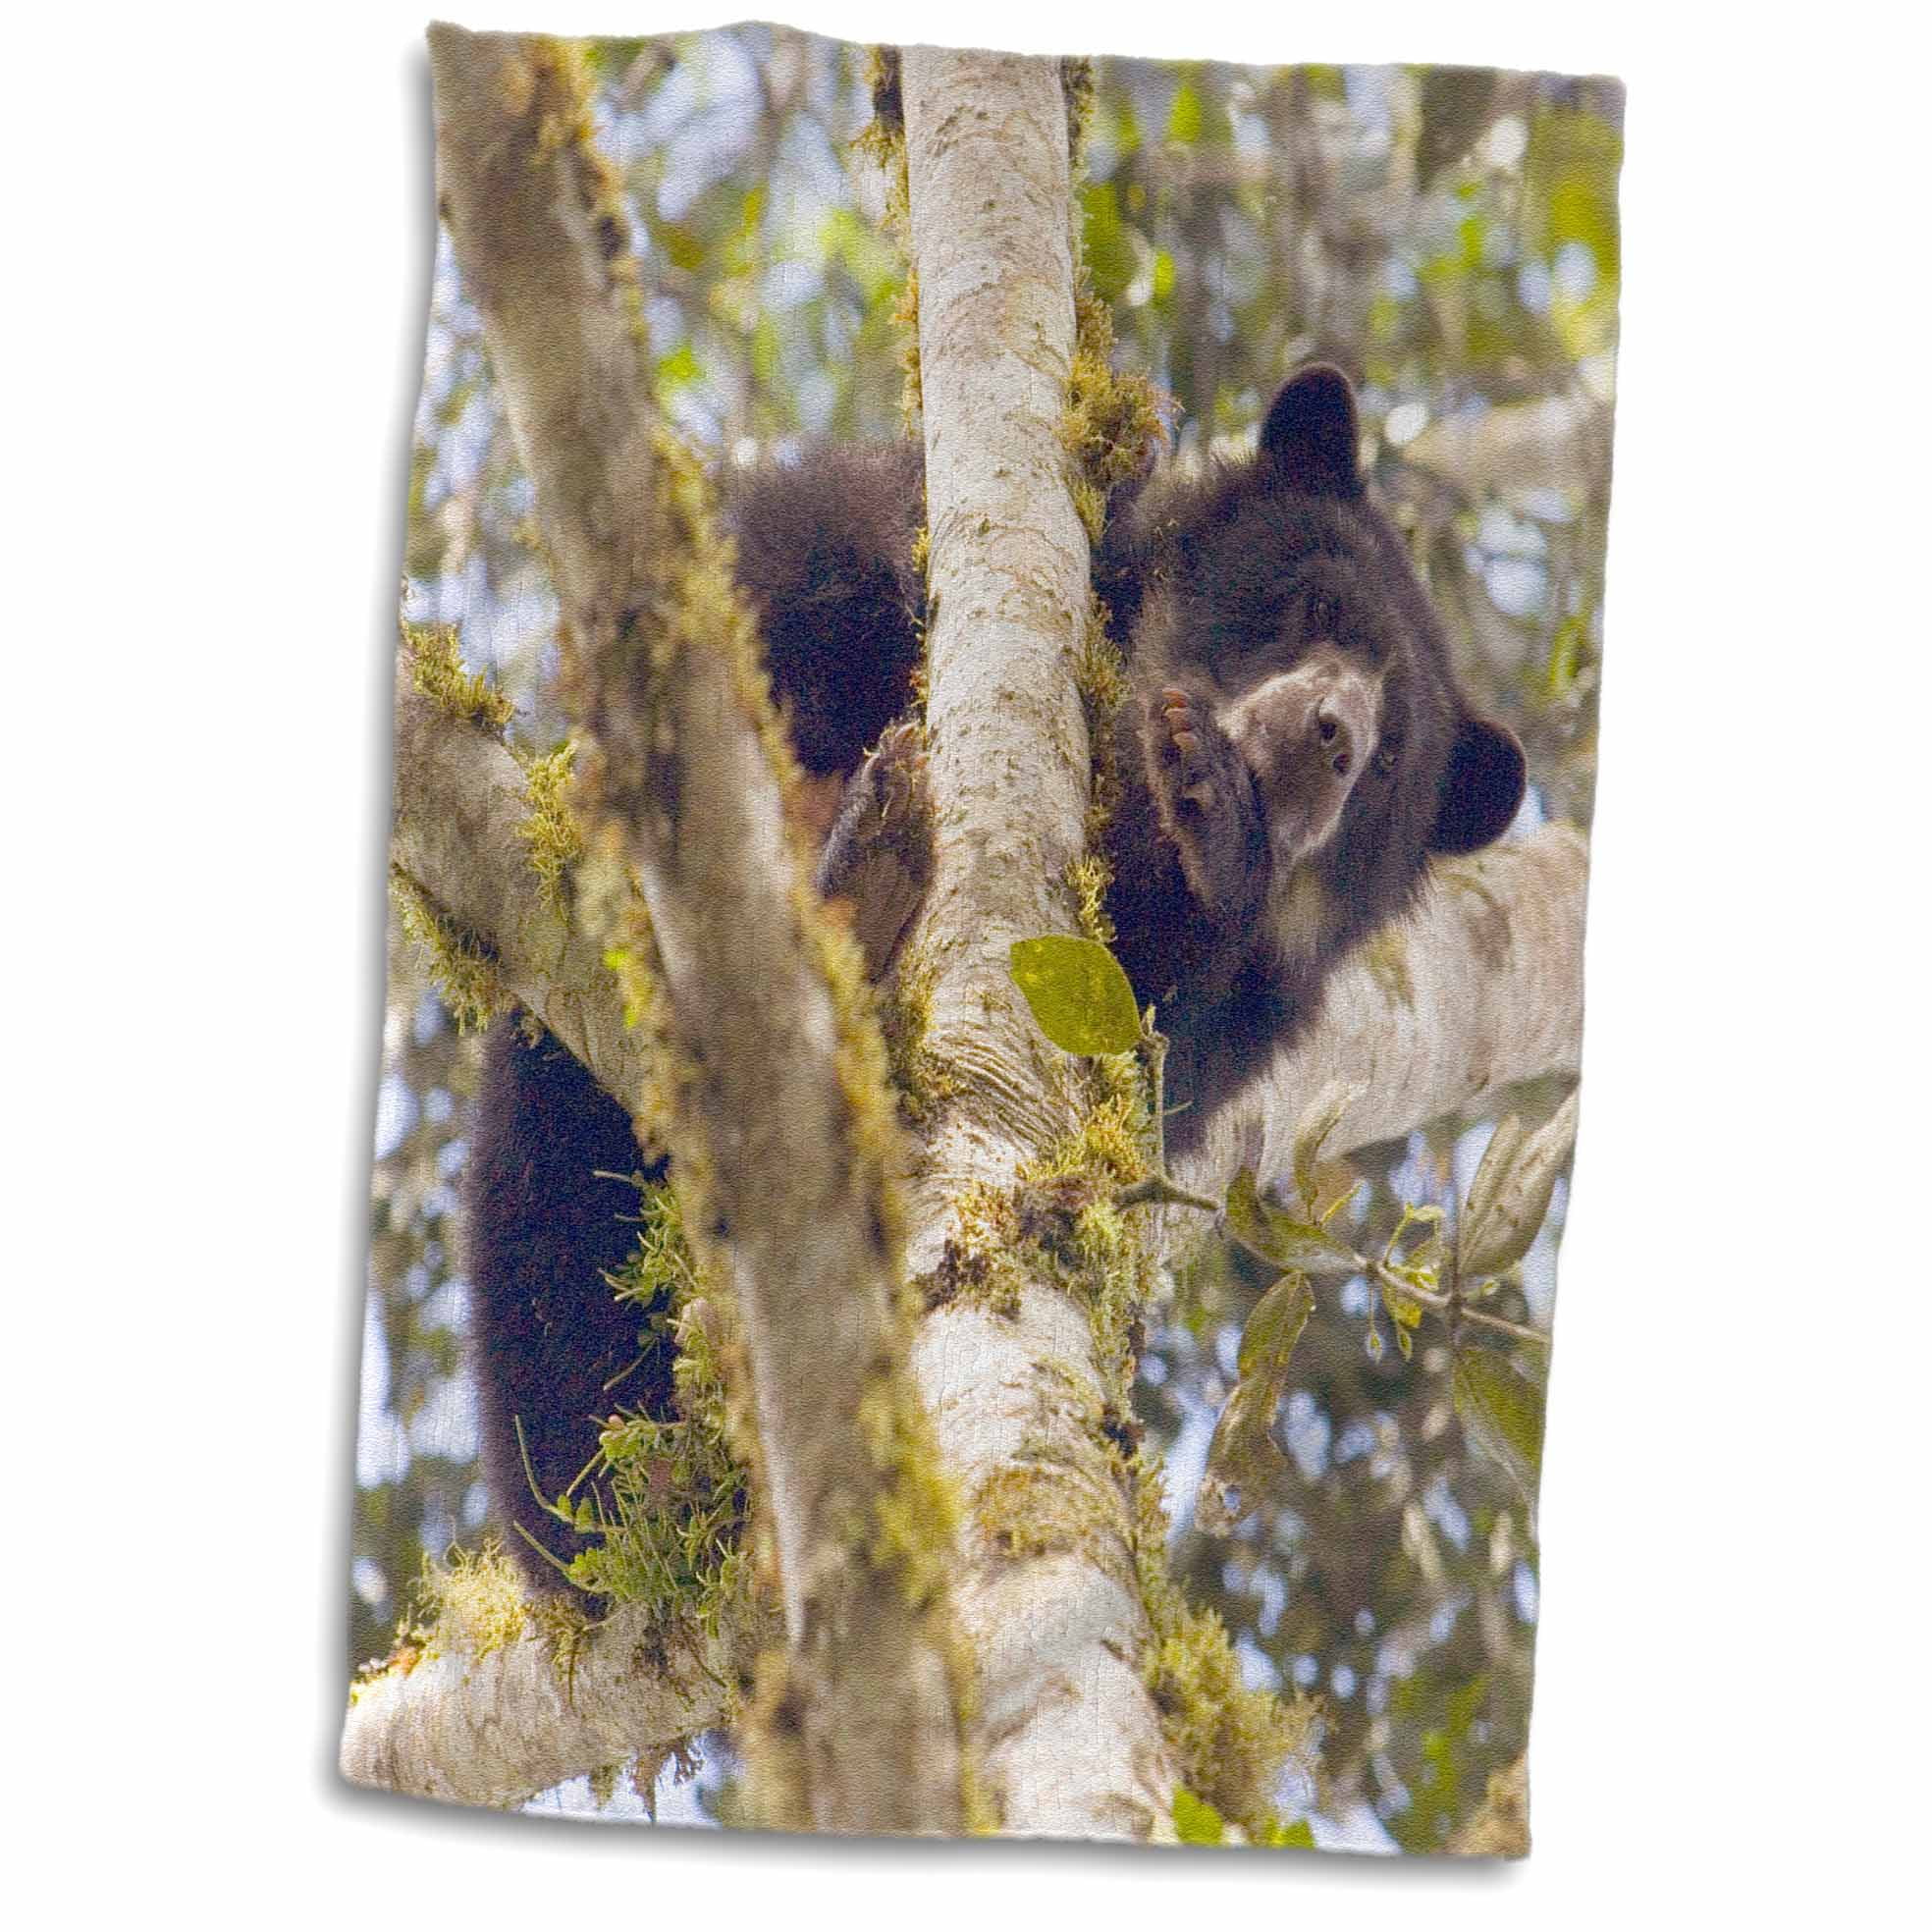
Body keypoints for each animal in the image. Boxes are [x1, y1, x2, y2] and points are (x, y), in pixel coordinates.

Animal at [463, 368, 1522, 1591]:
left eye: (1395, 760)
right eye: (1317, 610)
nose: (1331, 736)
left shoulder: (1235, 1015)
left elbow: (1153, 1033)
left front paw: (1215, 814)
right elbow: (800, 568)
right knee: (554, 1251)